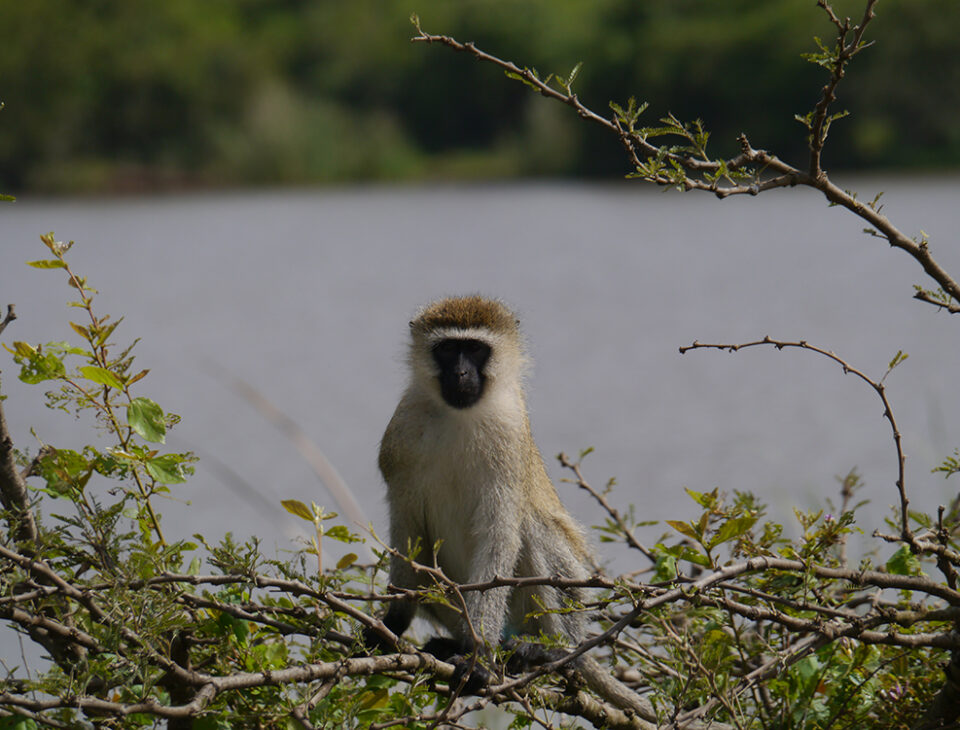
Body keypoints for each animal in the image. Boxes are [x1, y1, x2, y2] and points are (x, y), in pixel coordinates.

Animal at [364, 292, 656, 720]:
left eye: (475, 350)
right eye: (448, 349)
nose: (461, 374)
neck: (458, 415)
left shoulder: (510, 436)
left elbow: (499, 536)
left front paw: (478, 660)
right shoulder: (401, 436)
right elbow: (408, 532)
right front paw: (393, 622)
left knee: (533, 528)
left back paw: (543, 652)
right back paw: (457, 646)